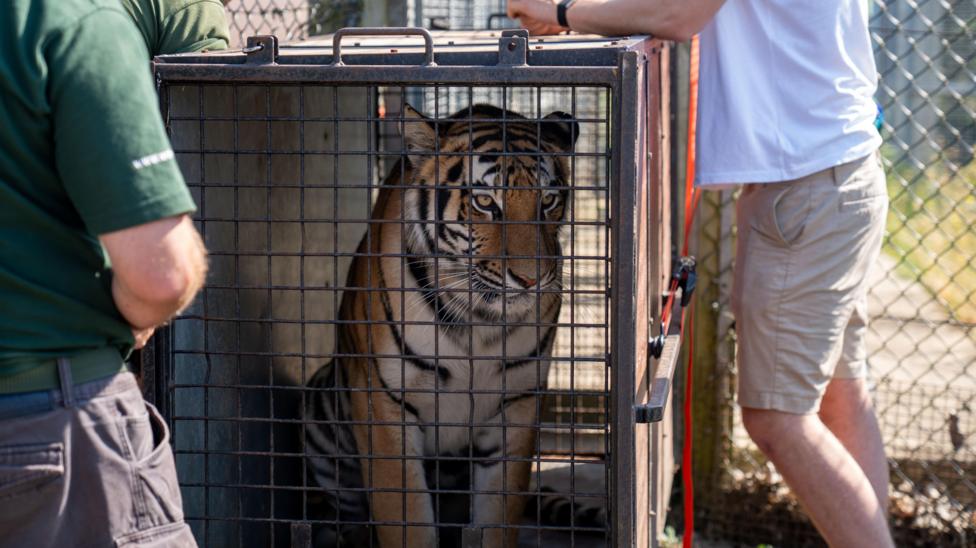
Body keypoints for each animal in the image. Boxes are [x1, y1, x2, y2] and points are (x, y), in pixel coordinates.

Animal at [303, 103, 579, 548]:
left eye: (549, 200)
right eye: (485, 202)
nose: (531, 280)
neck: (479, 321)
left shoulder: (517, 404)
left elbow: (497, 519)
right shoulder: (386, 405)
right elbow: (408, 521)